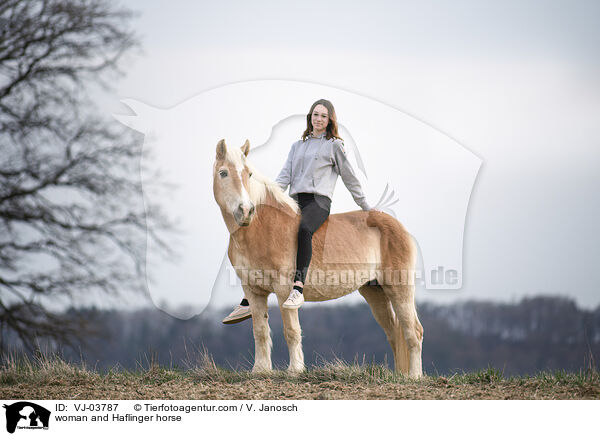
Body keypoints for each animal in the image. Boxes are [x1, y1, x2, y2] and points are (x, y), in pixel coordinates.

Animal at [213, 140, 424, 378]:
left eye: (248, 174)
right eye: (223, 173)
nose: (246, 211)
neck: (262, 227)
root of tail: (398, 227)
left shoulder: (284, 289)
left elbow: (291, 330)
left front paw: (295, 370)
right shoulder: (253, 290)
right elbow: (260, 330)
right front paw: (260, 370)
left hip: (400, 288)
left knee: (414, 331)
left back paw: (414, 377)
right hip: (375, 292)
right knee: (394, 332)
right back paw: (400, 376)